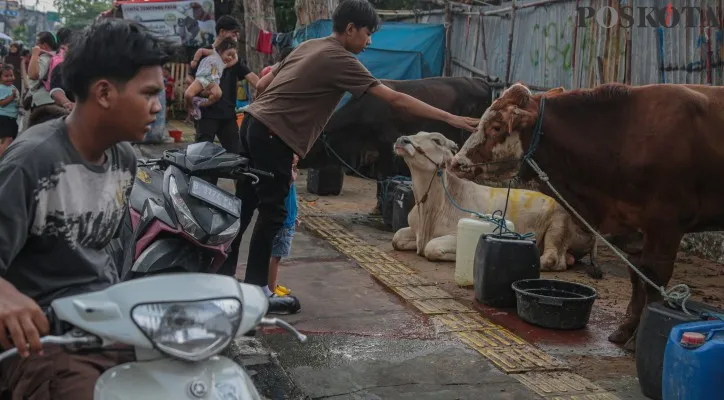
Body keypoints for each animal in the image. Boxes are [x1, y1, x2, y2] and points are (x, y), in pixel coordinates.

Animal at [390, 131, 600, 278]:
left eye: (436, 140)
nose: (402, 139)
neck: (431, 206)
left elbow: (431, 247)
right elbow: (396, 237)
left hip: (557, 226)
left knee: (553, 259)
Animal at [446, 82, 724, 346]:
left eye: (496, 127)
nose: (456, 162)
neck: (623, 134)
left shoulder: (666, 226)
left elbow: (654, 280)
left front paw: (636, 339)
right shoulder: (631, 230)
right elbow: (637, 278)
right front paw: (625, 330)